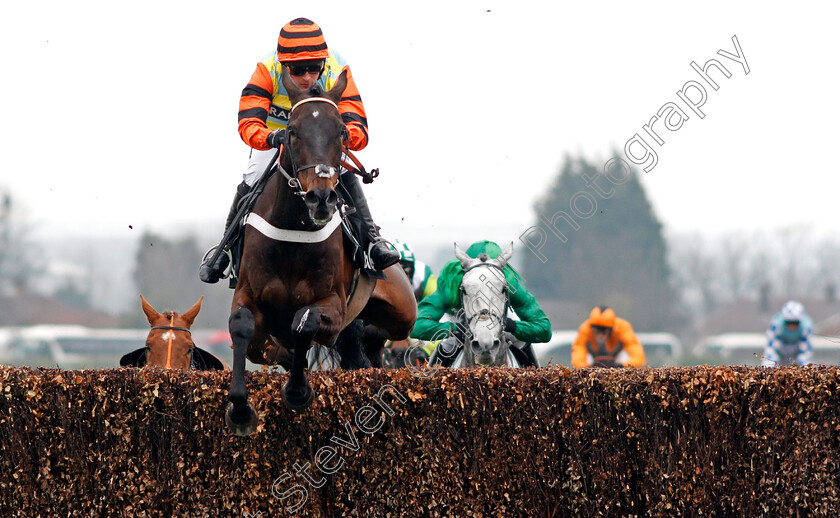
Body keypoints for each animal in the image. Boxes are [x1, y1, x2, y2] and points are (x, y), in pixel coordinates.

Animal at [226, 68, 416, 434]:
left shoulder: (333, 305)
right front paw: (240, 408)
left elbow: (305, 322)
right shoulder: (248, 294)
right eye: (291, 132)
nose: (322, 198)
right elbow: (243, 327)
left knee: (374, 338)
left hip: (403, 308)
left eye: (341, 131)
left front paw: (297, 392)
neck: (294, 232)